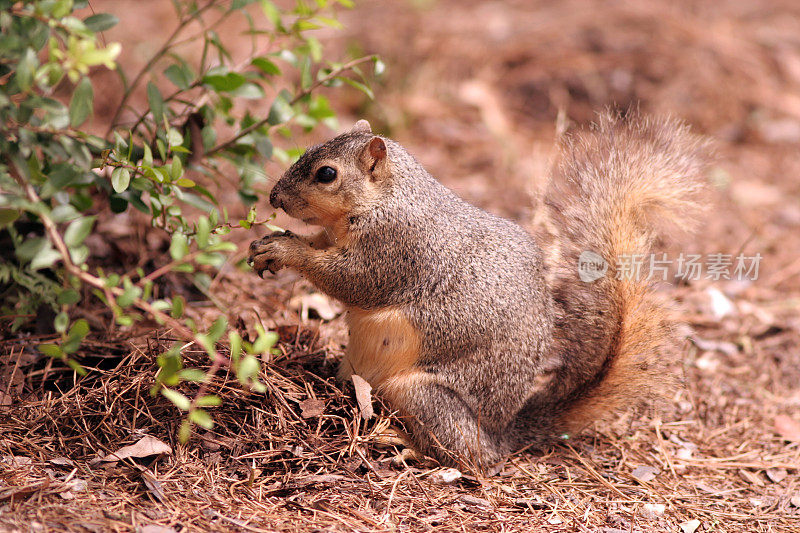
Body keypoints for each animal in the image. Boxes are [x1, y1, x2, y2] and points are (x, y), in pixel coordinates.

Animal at [248, 113, 708, 470]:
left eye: (327, 174)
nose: (274, 197)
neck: (388, 197)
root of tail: (499, 434)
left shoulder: (395, 248)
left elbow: (354, 282)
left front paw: (285, 249)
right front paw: (268, 246)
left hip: (423, 395)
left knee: (466, 456)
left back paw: (405, 445)